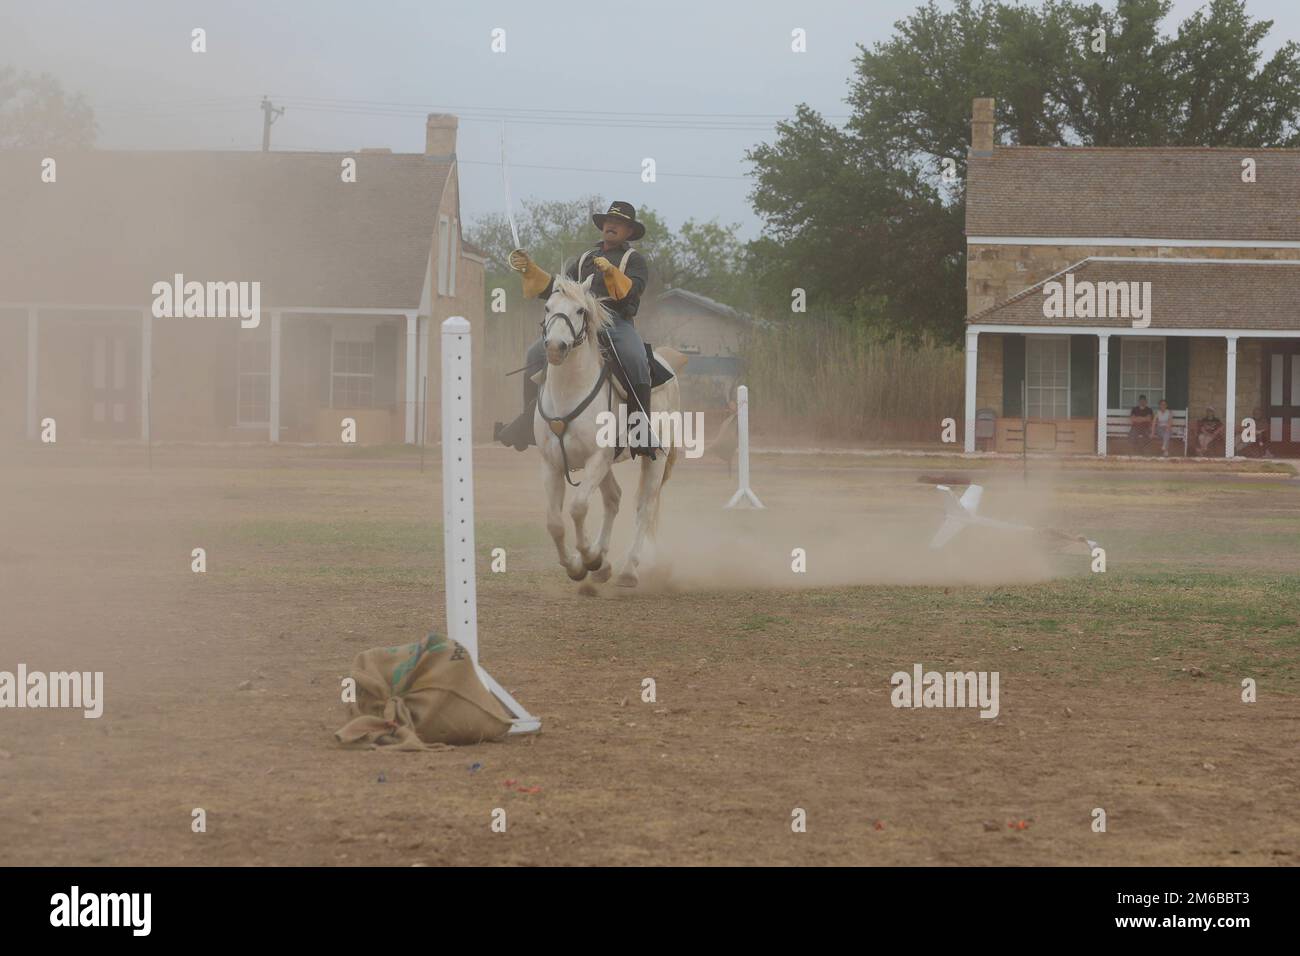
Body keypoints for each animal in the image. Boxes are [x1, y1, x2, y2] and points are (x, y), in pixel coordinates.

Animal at [533, 277, 686, 590]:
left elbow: (578, 508)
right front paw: (578, 566)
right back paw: (604, 565)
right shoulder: (551, 464)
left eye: (581, 310)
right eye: (547, 307)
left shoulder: (596, 459)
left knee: (644, 507)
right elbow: (554, 522)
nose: (555, 347)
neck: (569, 391)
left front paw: (588, 559)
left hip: (655, 459)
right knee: (614, 498)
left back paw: (628, 569)